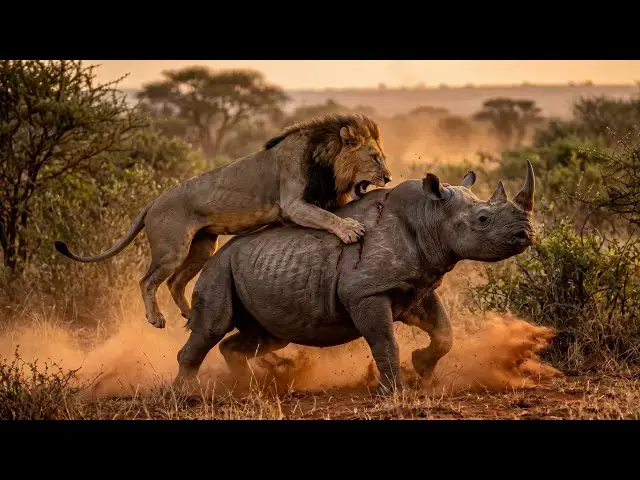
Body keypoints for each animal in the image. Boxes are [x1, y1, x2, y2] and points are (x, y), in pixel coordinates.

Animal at [55, 113, 393, 329]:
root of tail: (152, 202)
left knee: (176, 282)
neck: (326, 161)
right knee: (147, 280)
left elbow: (331, 210)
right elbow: (326, 217)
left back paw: (191, 316)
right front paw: (350, 230)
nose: (389, 177)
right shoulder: (294, 204)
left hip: (204, 245)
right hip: (172, 248)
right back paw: (156, 318)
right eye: (374, 157)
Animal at [174, 161, 536, 395]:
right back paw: (186, 394)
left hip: (252, 270)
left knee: (269, 336)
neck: (430, 216)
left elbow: (444, 331)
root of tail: (216, 254)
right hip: (218, 270)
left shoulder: (418, 285)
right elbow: (384, 340)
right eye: (483, 219)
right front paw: (396, 394)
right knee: (212, 327)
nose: (526, 234)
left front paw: (421, 368)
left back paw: (249, 389)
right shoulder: (366, 292)